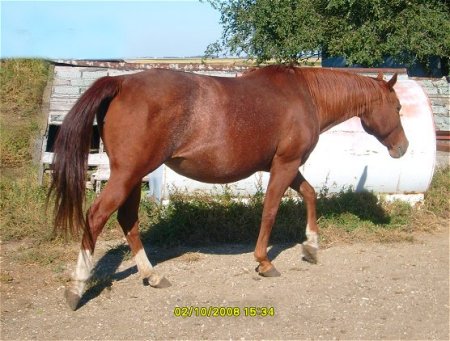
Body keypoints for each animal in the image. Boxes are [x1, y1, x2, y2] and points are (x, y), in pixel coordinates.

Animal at [49, 65, 408, 310]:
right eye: (398, 108)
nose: (402, 148)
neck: (305, 95)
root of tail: (122, 81)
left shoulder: (285, 167)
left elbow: (309, 193)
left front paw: (311, 246)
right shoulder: (285, 164)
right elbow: (271, 210)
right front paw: (265, 262)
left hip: (133, 177)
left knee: (128, 220)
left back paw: (153, 276)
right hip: (127, 174)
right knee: (97, 217)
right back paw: (77, 288)